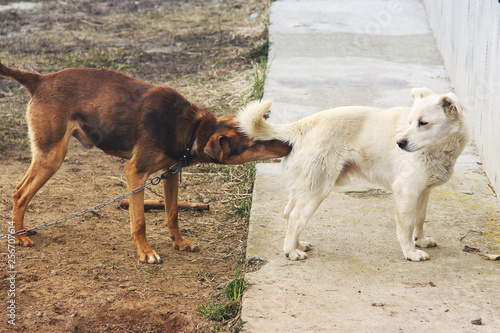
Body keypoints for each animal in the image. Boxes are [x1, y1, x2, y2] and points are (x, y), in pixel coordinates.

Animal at [0, 63, 290, 264]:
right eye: (255, 142)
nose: (288, 145)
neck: (190, 127)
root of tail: (41, 80)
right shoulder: (135, 173)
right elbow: (139, 221)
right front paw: (146, 252)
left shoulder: (170, 174)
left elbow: (172, 214)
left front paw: (179, 242)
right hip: (52, 156)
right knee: (20, 193)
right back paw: (20, 236)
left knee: (19, 192)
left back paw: (23, 230)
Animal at [237, 89, 468, 262]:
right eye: (411, 122)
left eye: (423, 123)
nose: (399, 143)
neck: (438, 150)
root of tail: (302, 125)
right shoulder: (406, 191)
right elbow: (407, 226)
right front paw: (410, 252)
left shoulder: (423, 191)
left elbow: (420, 219)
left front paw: (421, 240)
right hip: (317, 191)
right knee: (295, 217)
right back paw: (291, 252)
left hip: (305, 189)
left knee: (288, 214)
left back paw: (297, 244)